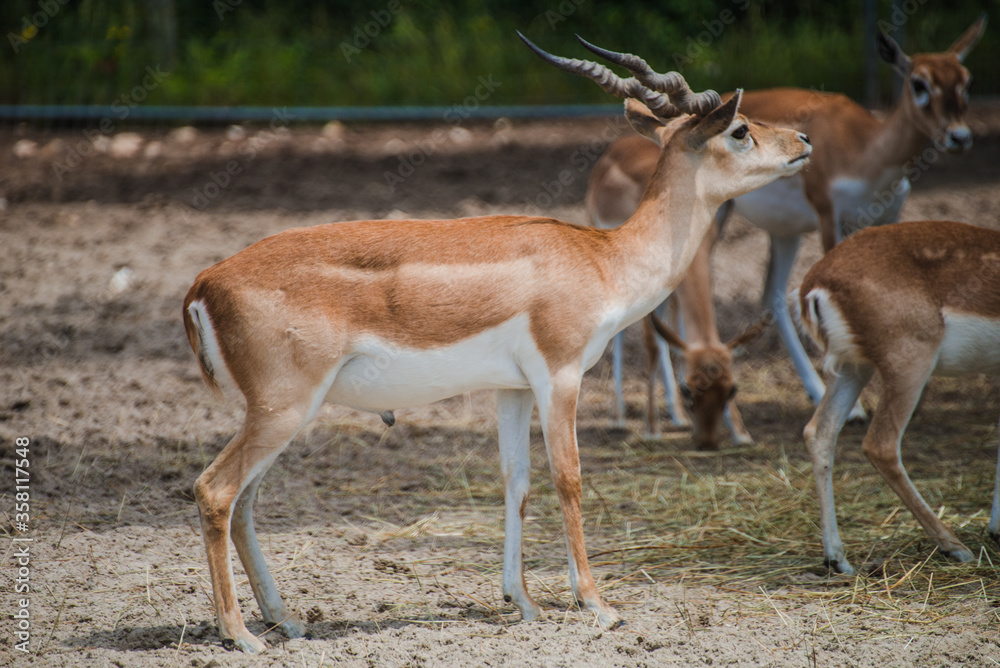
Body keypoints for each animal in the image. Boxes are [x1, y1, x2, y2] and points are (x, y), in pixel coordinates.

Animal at [182, 34, 812, 656]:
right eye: (740, 128)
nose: (804, 141)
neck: (604, 260)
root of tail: (204, 283)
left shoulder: (513, 390)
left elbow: (518, 482)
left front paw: (524, 603)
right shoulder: (560, 375)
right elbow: (568, 477)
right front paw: (597, 605)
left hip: (281, 414)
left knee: (246, 503)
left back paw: (284, 620)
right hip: (284, 408)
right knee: (215, 491)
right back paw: (240, 633)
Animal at [584, 18, 984, 430]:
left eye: (965, 81)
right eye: (919, 83)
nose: (959, 136)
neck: (868, 150)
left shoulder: (889, 217)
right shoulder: (829, 216)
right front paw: (856, 406)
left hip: (782, 232)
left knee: (764, 294)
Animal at [788, 220, 1000, 576]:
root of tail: (817, 282)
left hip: (853, 368)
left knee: (819, 432)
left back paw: (838, 559)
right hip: (910, 364)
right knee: (881, 445)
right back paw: (956, 549)